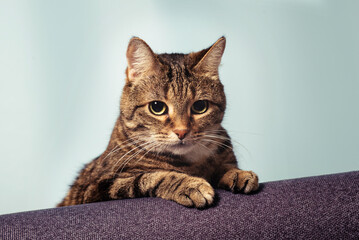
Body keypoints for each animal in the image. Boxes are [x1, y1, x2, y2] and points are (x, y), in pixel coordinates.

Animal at [59, 36, 260, 208]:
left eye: (200, 106)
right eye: (157, 107)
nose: (181, 131)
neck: (190, 163)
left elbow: (225, 166)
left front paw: (238, 173)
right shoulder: (95, 188)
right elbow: (150, 177)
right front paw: (190, 184)